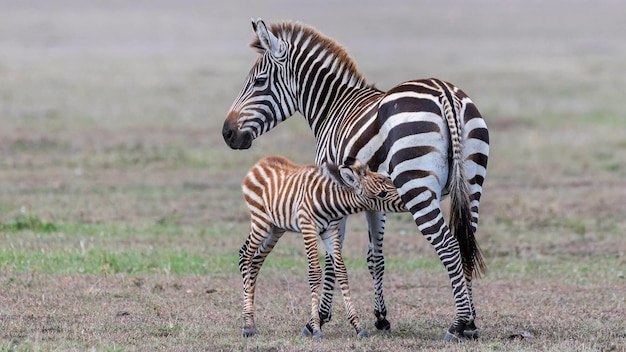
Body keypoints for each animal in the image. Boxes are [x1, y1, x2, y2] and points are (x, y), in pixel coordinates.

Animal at [239, 156, 404, 338]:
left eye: (391, 181)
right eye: (382, 193)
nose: (407, 201)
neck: (330, 202)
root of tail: (261, 161)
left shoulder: (330, 231)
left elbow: (341, 270)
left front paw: (358, 326)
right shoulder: (308, 226)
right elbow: (315, 273)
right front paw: (316, 329)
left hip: (275, 228)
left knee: (254, 260)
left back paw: (251, 321)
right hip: (261, 221)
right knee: (246, 257)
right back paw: (248, 325)